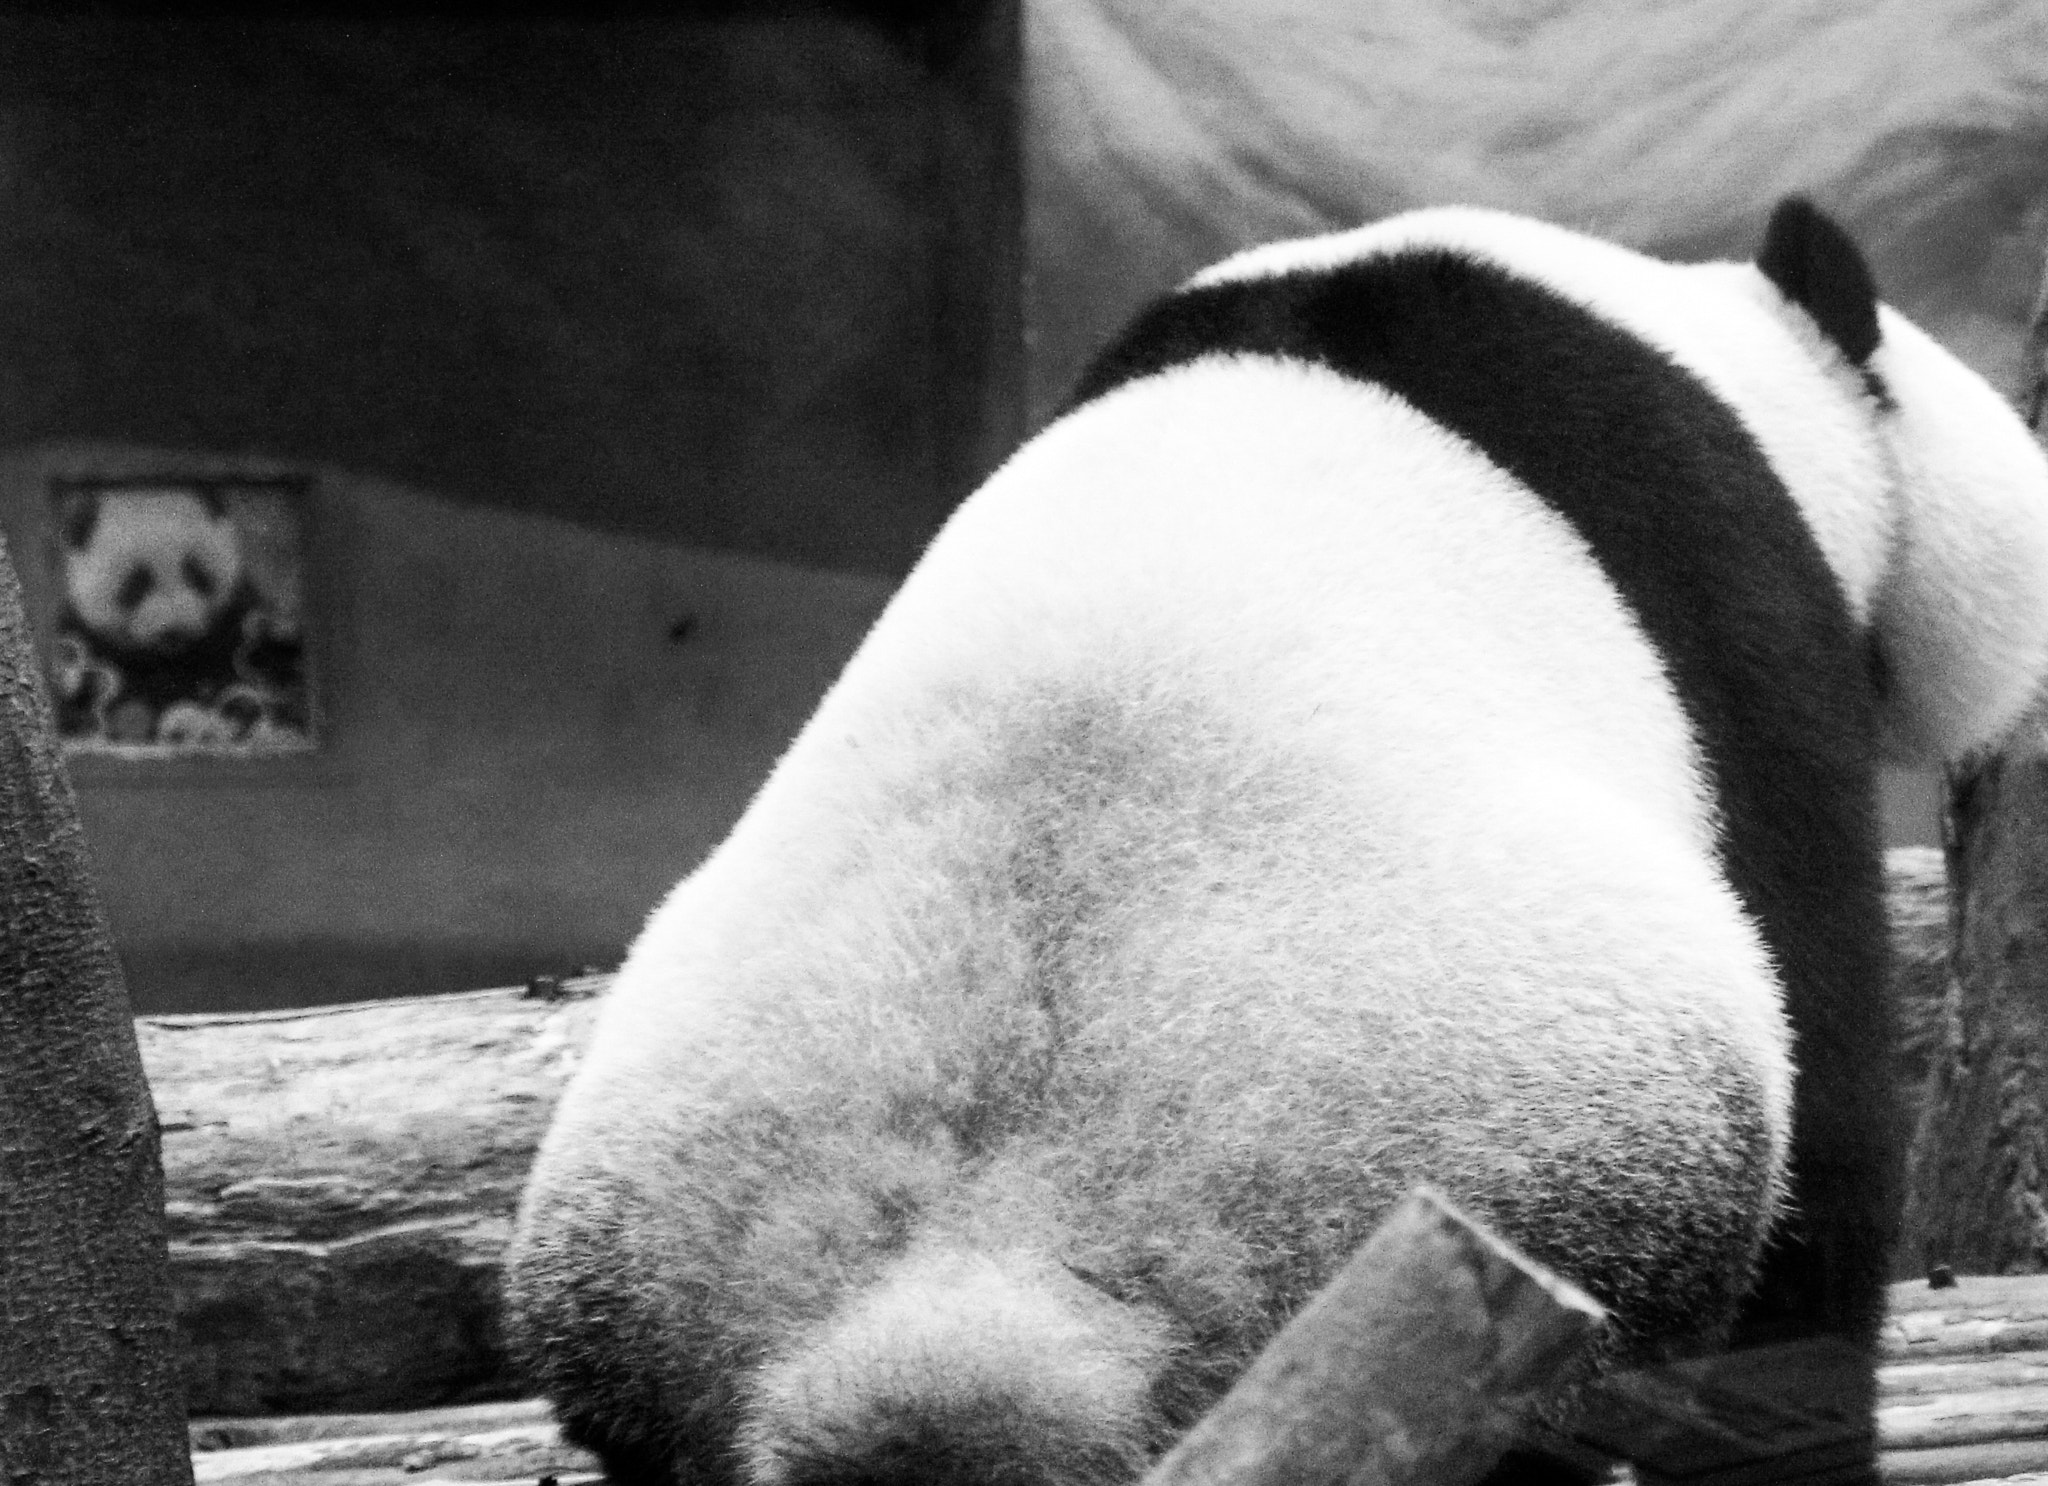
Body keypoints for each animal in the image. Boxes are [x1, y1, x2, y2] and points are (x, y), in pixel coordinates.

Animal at [505, 199, 2048, 1486]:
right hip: (1496, 1142)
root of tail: (978, 1298)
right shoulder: (1740, 614)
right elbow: (1826, 1078)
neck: (1717, 351)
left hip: (651, 1258)